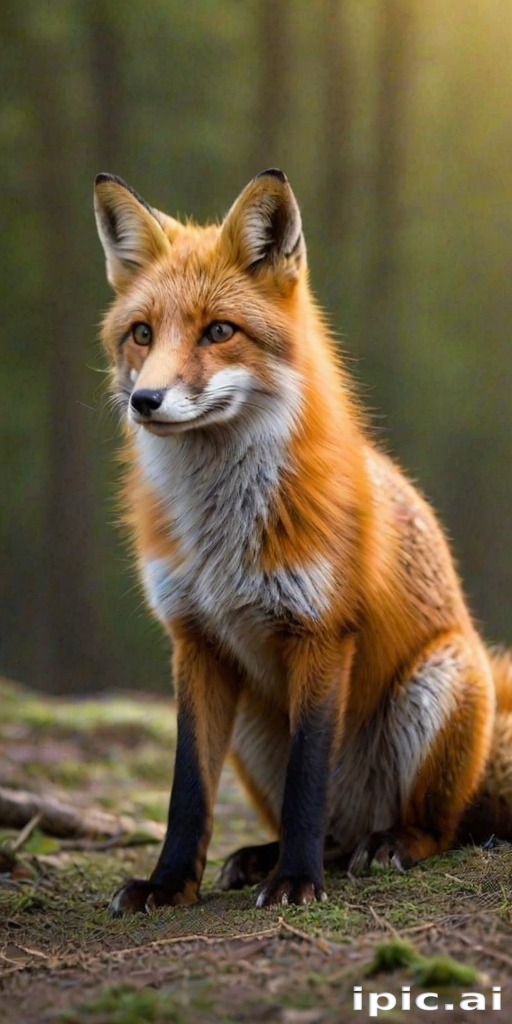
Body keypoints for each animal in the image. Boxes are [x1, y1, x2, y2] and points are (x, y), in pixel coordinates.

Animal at [93, 168, 512, 915]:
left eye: (219, 331)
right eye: (141, 334)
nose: (146, 401)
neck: (220, 536)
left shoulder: (322, 631)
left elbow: (307, 782)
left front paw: (296, 880)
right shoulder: (194, 640)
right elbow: (187, 790)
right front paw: (168, 884)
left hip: (438, 684)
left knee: (435, 827)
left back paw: (387, 843)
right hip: (254, 727)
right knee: (336, 831)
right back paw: (270, 855)